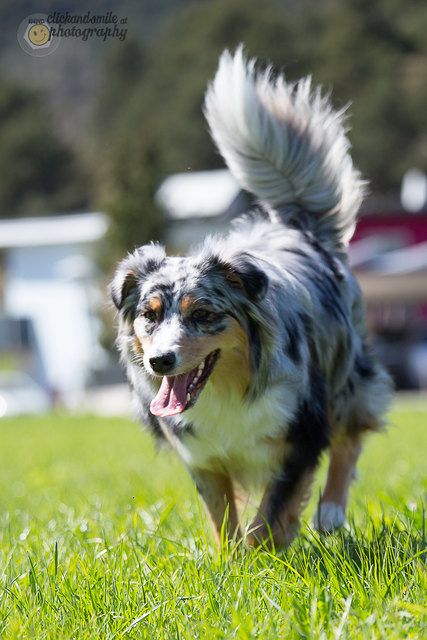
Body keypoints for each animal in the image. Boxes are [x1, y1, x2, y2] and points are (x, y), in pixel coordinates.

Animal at [111, 47, 394, 548]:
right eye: (150, 315)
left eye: (203, 313)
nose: (160, 361)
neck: (227, 388)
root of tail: (296, 226)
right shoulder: (202, 455)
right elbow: (223, 520)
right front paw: (230, 561)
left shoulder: (302, 436)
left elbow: (270, 513)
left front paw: (263, 559)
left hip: (348, 372)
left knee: (352, 433)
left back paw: (331, 513)